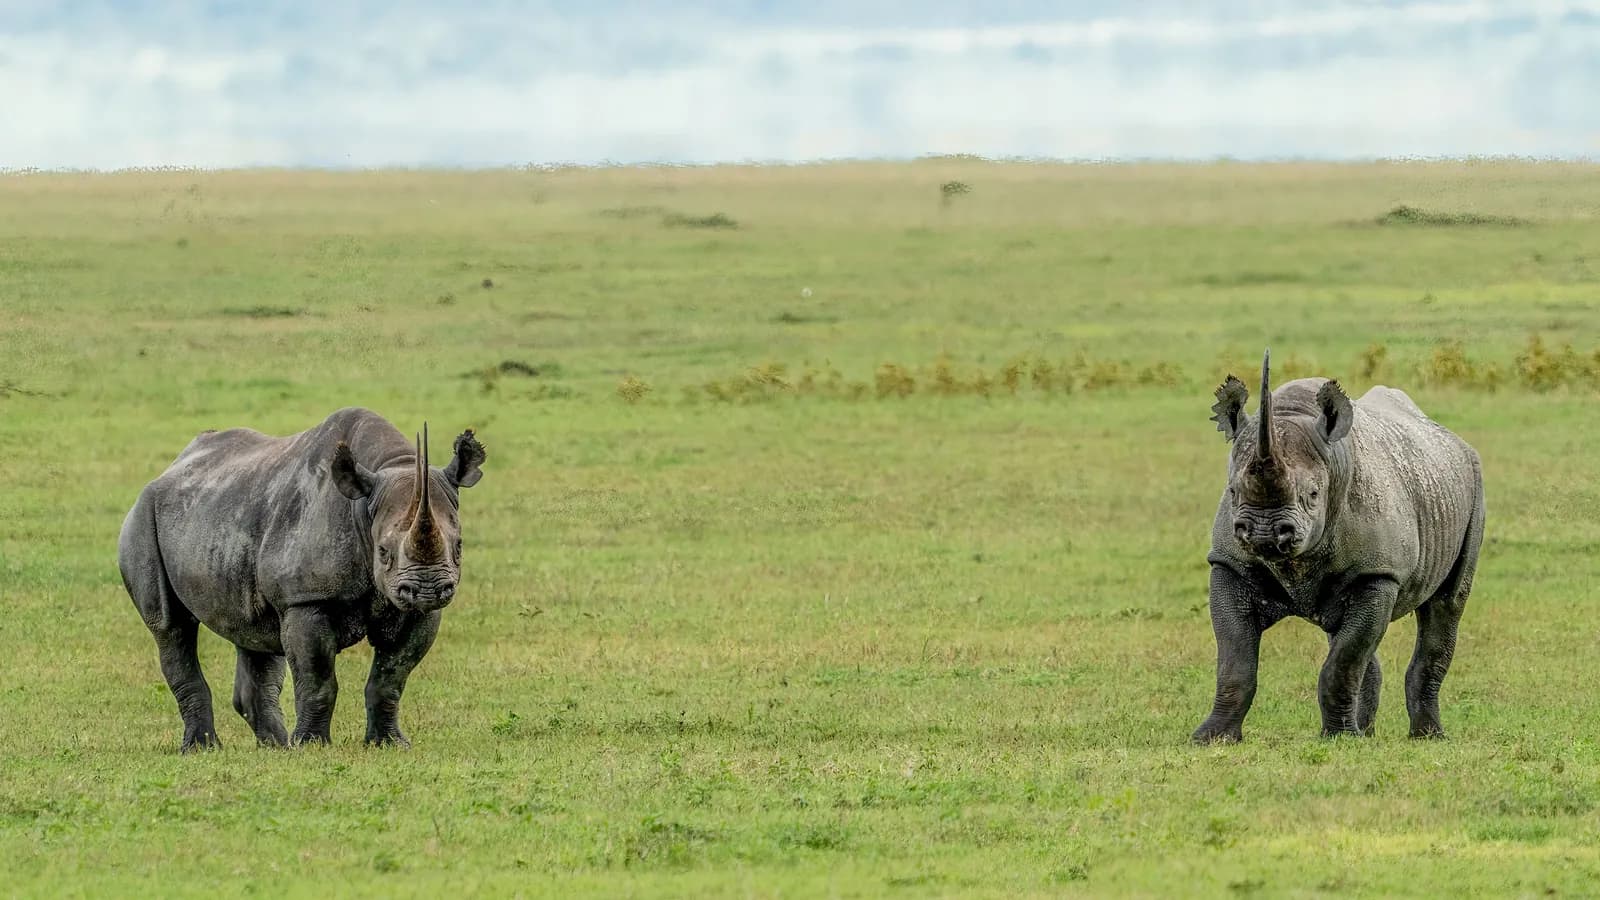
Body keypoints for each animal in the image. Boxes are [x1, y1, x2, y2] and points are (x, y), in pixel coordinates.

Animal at [117, 408, 486, 751]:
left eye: (459, 546)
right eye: (383, 552)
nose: (429, 590)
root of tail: (170, 468)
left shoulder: (415, 612)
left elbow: (391, 677)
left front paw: (390, 744)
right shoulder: (305, 598)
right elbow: (317, 678)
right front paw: (311, 745)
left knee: (255, 634)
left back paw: (276, 747)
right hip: (142, 518)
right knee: (171, 627)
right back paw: (204, 749)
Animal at [1192, 351, 1483, 742]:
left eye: (1314, 494)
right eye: (1234, 491)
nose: (1264, 533)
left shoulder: (1378, 573)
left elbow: (1344, 662)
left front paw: (1340, 738)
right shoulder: (1230, 563)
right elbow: (1234, 661)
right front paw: (1210, 738)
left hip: (1472, 483)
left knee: (1446, 604)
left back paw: (1427, 737)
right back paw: (1367, 732)